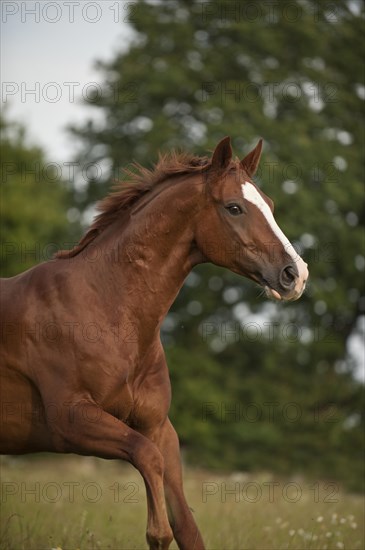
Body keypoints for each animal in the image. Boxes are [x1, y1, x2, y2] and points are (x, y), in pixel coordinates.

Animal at [0, 136, 308, 548]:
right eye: (234, 207)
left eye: (270, 205)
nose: (296, 274)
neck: (107, 311)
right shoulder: (72, 420)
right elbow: (147, 463)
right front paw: (156, 532)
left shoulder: (158, 426)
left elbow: (187, 525)